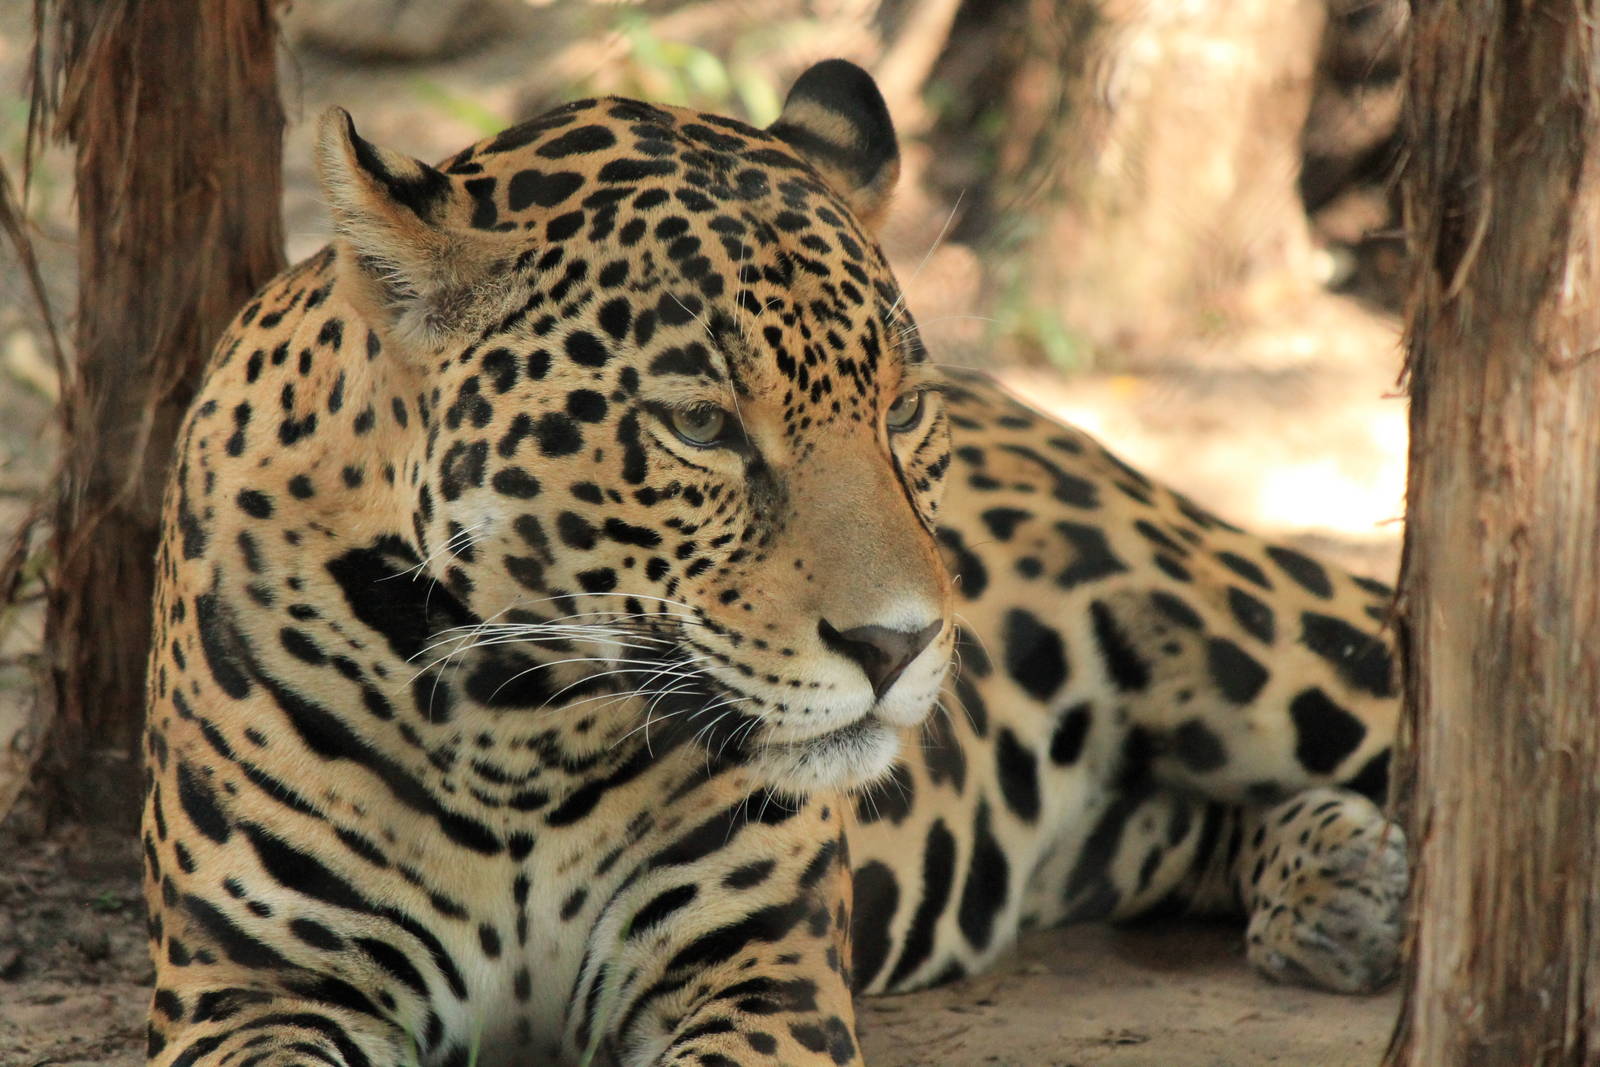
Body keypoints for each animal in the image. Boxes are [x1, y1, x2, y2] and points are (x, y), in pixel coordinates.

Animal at [141, 59, 1406, 1067]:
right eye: (699, 425)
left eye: (900, 408)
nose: (897, 643)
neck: (520, 724)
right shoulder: (253, 991)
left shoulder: (755, 974)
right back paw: (1340, 878)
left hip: (1273, 643)